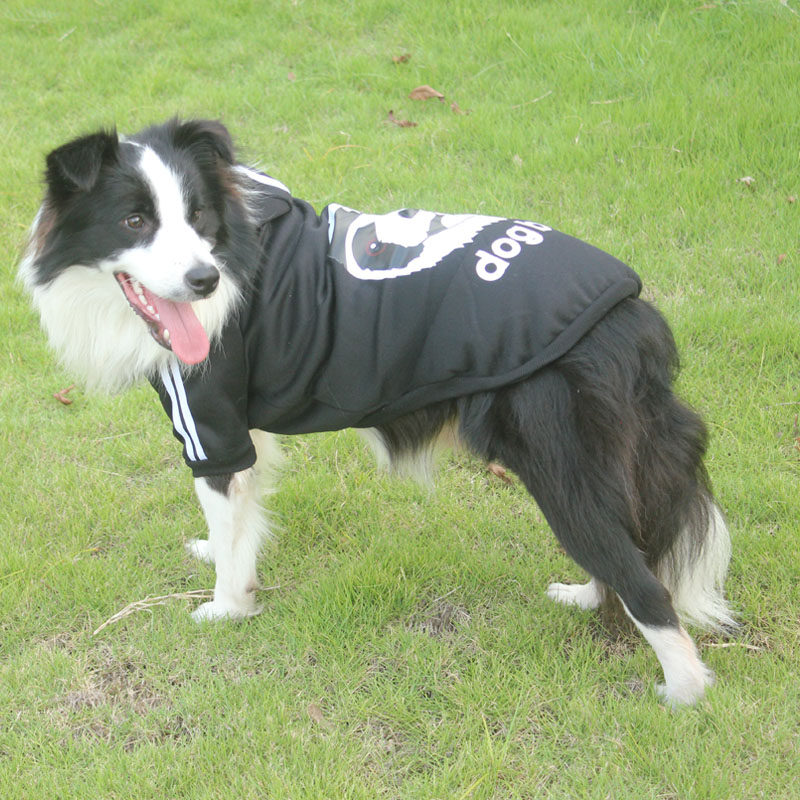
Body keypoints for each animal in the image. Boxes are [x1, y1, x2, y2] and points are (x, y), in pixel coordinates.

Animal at [19, 119, 735, 705]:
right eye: (135, 222)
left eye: (197, 217)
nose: (204, 282)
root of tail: (632, 314)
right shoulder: (242, 425)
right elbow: (242, 519)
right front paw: (226, 562)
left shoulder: (210, 418)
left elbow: (225, 512)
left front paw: (225, 607)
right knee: (626, 546)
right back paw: (585, 598)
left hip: (560, 460)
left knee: (643, 580)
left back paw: (683, 692)